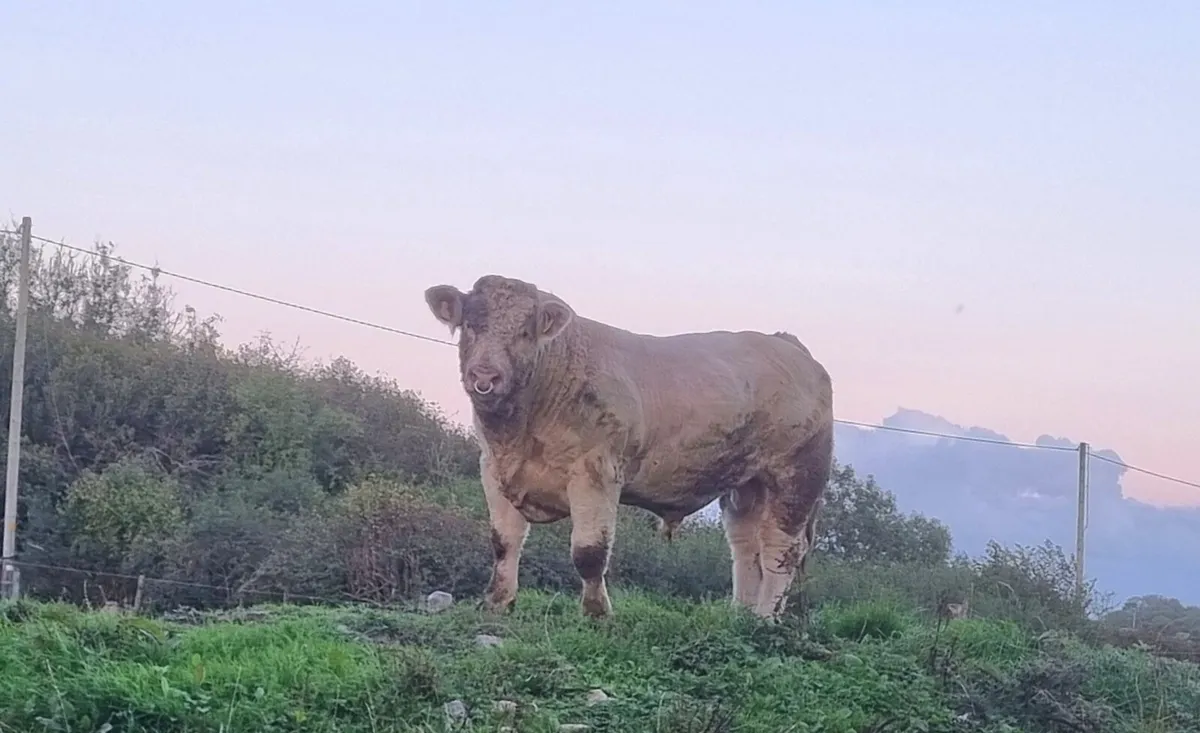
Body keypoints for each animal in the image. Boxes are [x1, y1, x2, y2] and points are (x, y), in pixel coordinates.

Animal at [424, 275, 833, 619]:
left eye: (525, 332)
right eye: (471, 325)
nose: (485, 376)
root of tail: (785, 342)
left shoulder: (595, 472)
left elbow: (589, 552)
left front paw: (596, 613)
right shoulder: (493, 469)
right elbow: (504, 542)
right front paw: (497, 602)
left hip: (796, 477)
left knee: (781, 550)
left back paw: (764, 619)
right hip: (746, 485)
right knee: (747, 547)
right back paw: (740, 616)